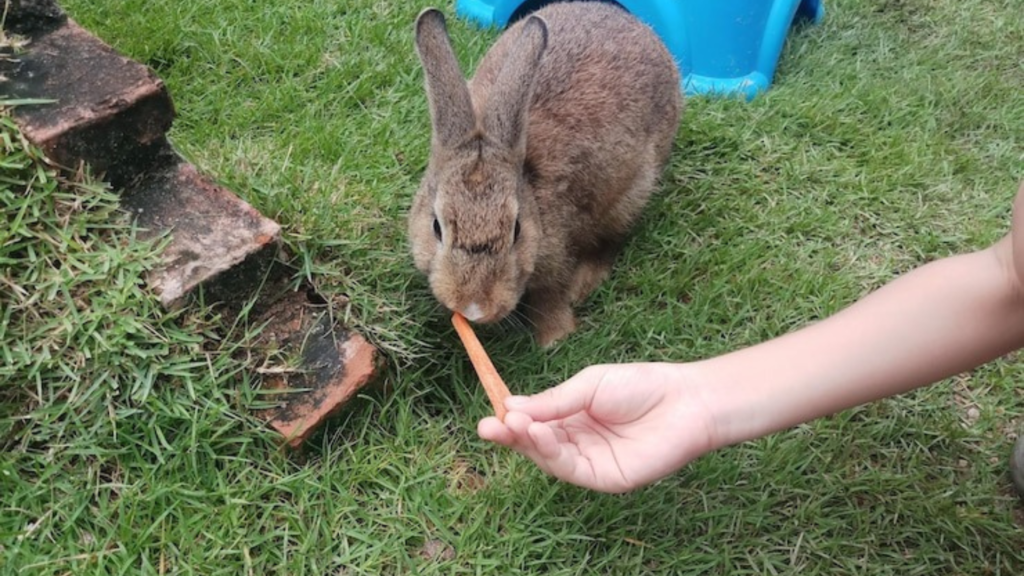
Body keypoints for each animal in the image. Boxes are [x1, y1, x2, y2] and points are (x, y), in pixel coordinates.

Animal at [409, 2, 682, 347]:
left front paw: (554, 338)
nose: (474, 307)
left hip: (633, 192)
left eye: (517, 230)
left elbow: (551, 295)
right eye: (436, 227)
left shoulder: (557, 252)